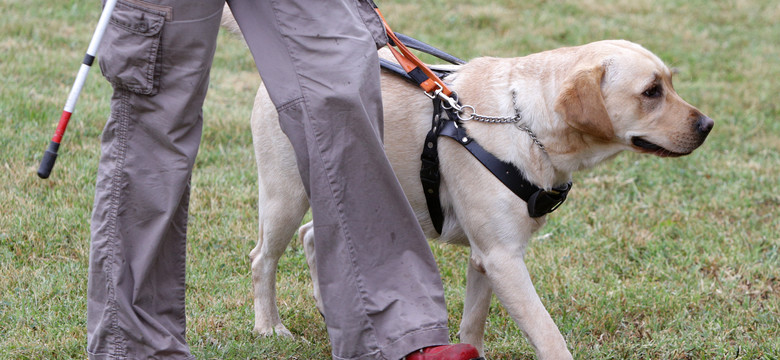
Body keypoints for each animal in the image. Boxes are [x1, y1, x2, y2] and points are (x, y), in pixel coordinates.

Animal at [225, 14, 712, 358]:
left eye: (670, 82)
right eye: (651, 92)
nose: (708, 125)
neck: (522, 122)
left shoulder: (486, 260)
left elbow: (472, 327)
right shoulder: (503, 260)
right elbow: (549, 337)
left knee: (312, 237)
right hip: (286, 196)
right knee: (262, 259)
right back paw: (268, 327)